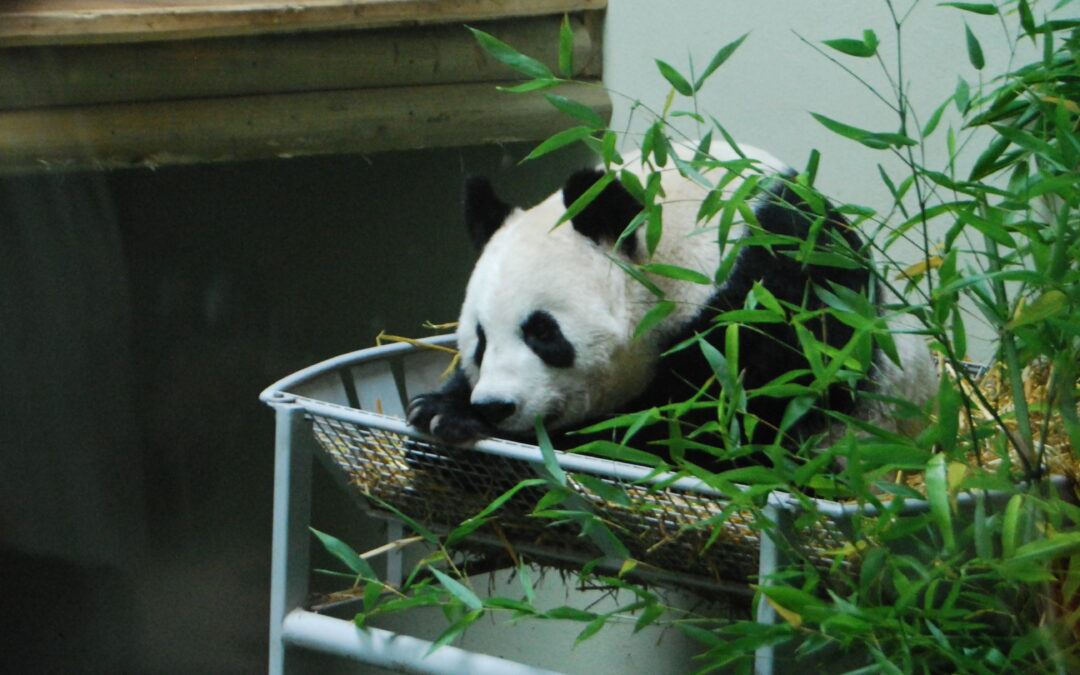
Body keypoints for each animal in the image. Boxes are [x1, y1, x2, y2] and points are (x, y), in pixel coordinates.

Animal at [406, 142, 937, 466]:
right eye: (479, 340)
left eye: (543, 333)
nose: (495, 406)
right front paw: (436, 407)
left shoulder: (772, 301)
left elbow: (704, 431)